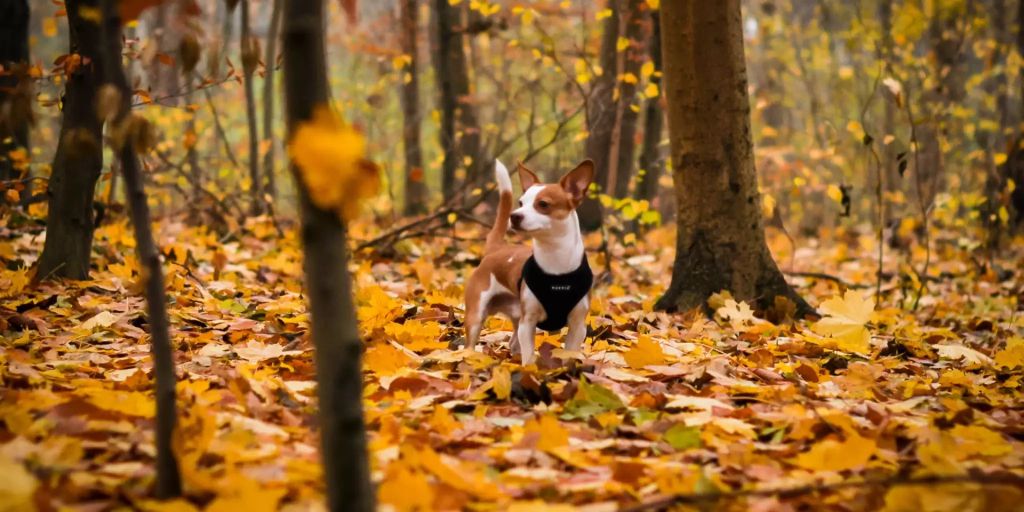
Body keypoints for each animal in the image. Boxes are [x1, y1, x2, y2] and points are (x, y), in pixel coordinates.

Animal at [462, 158, 598, 364]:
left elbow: (569, 355)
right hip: (476, 315)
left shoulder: (577, 326)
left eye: (543, 204)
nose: (514, 215)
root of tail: (497, 249)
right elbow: (529, 357)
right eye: (520, 202)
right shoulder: (528, 322)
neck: (555, 264)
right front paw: (528, 369)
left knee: (513, 344)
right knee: (470, 344)